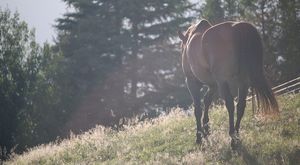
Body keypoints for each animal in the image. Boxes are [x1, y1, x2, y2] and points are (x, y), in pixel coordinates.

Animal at [178, 19, 278, 148]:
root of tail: (237, 28)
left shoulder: (192, 82)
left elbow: (198, 109)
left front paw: (199, 136)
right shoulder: (214, 85)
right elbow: (207, 101)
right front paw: (206, 128)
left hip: (223, 82)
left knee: (230, 105)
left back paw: (232, 137)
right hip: (243, 82)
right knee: (240, 105)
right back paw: (236, 135)